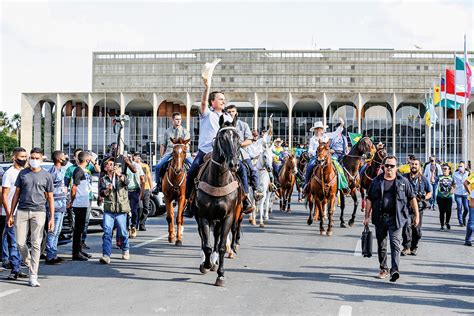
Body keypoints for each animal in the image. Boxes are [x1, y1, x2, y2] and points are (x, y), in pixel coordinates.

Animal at [193, 114, 243, 286]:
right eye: (222, 138)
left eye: (238, 138)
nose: (234, 164)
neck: (218, 181)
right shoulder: (203, 215)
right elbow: (207, 245)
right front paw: (206, 264)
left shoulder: (228, 216)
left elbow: (220, 246)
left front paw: (220, 274)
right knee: (204, 238)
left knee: (217, 237)